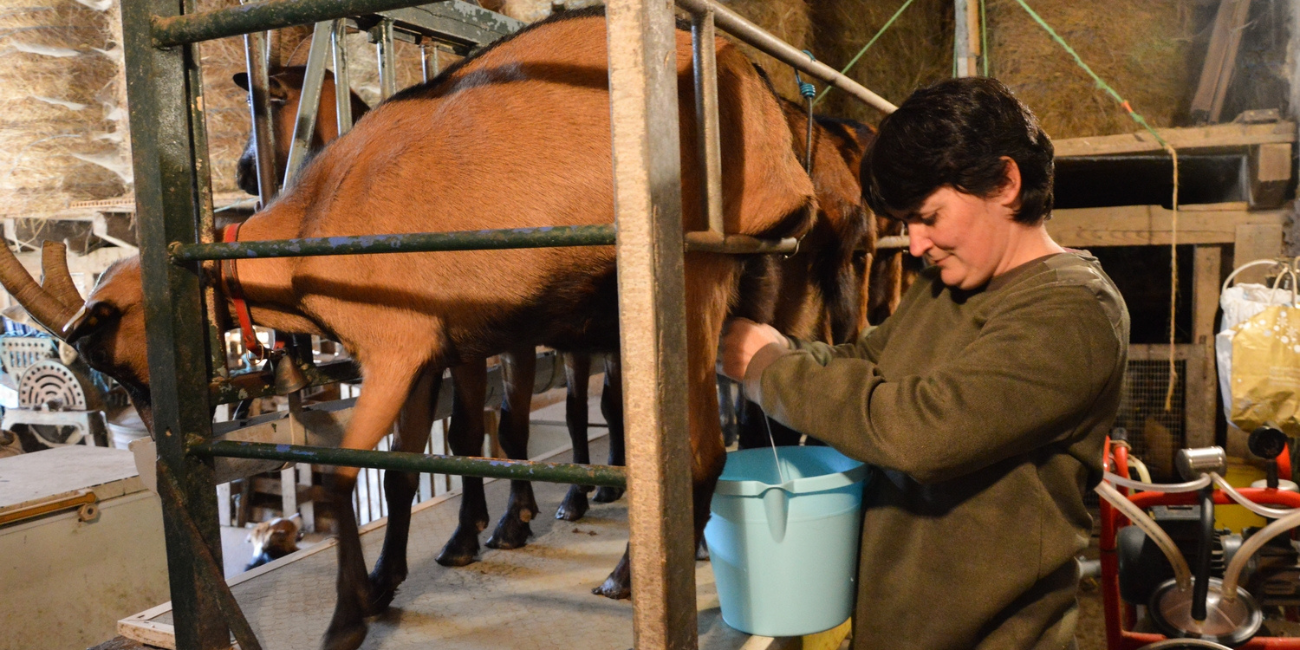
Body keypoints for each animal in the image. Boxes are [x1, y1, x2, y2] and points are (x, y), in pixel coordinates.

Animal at [0, 7, 811, 647]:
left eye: (101, 337)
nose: (149, 442)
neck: (318, 215)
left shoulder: (394, 349)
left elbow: (339, 481)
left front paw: (346, 618)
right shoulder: (427, 355)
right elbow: (403, 472)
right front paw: (389, 579)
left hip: (692, 271)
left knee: (701, 452)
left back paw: (624, 577)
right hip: (747, 284)